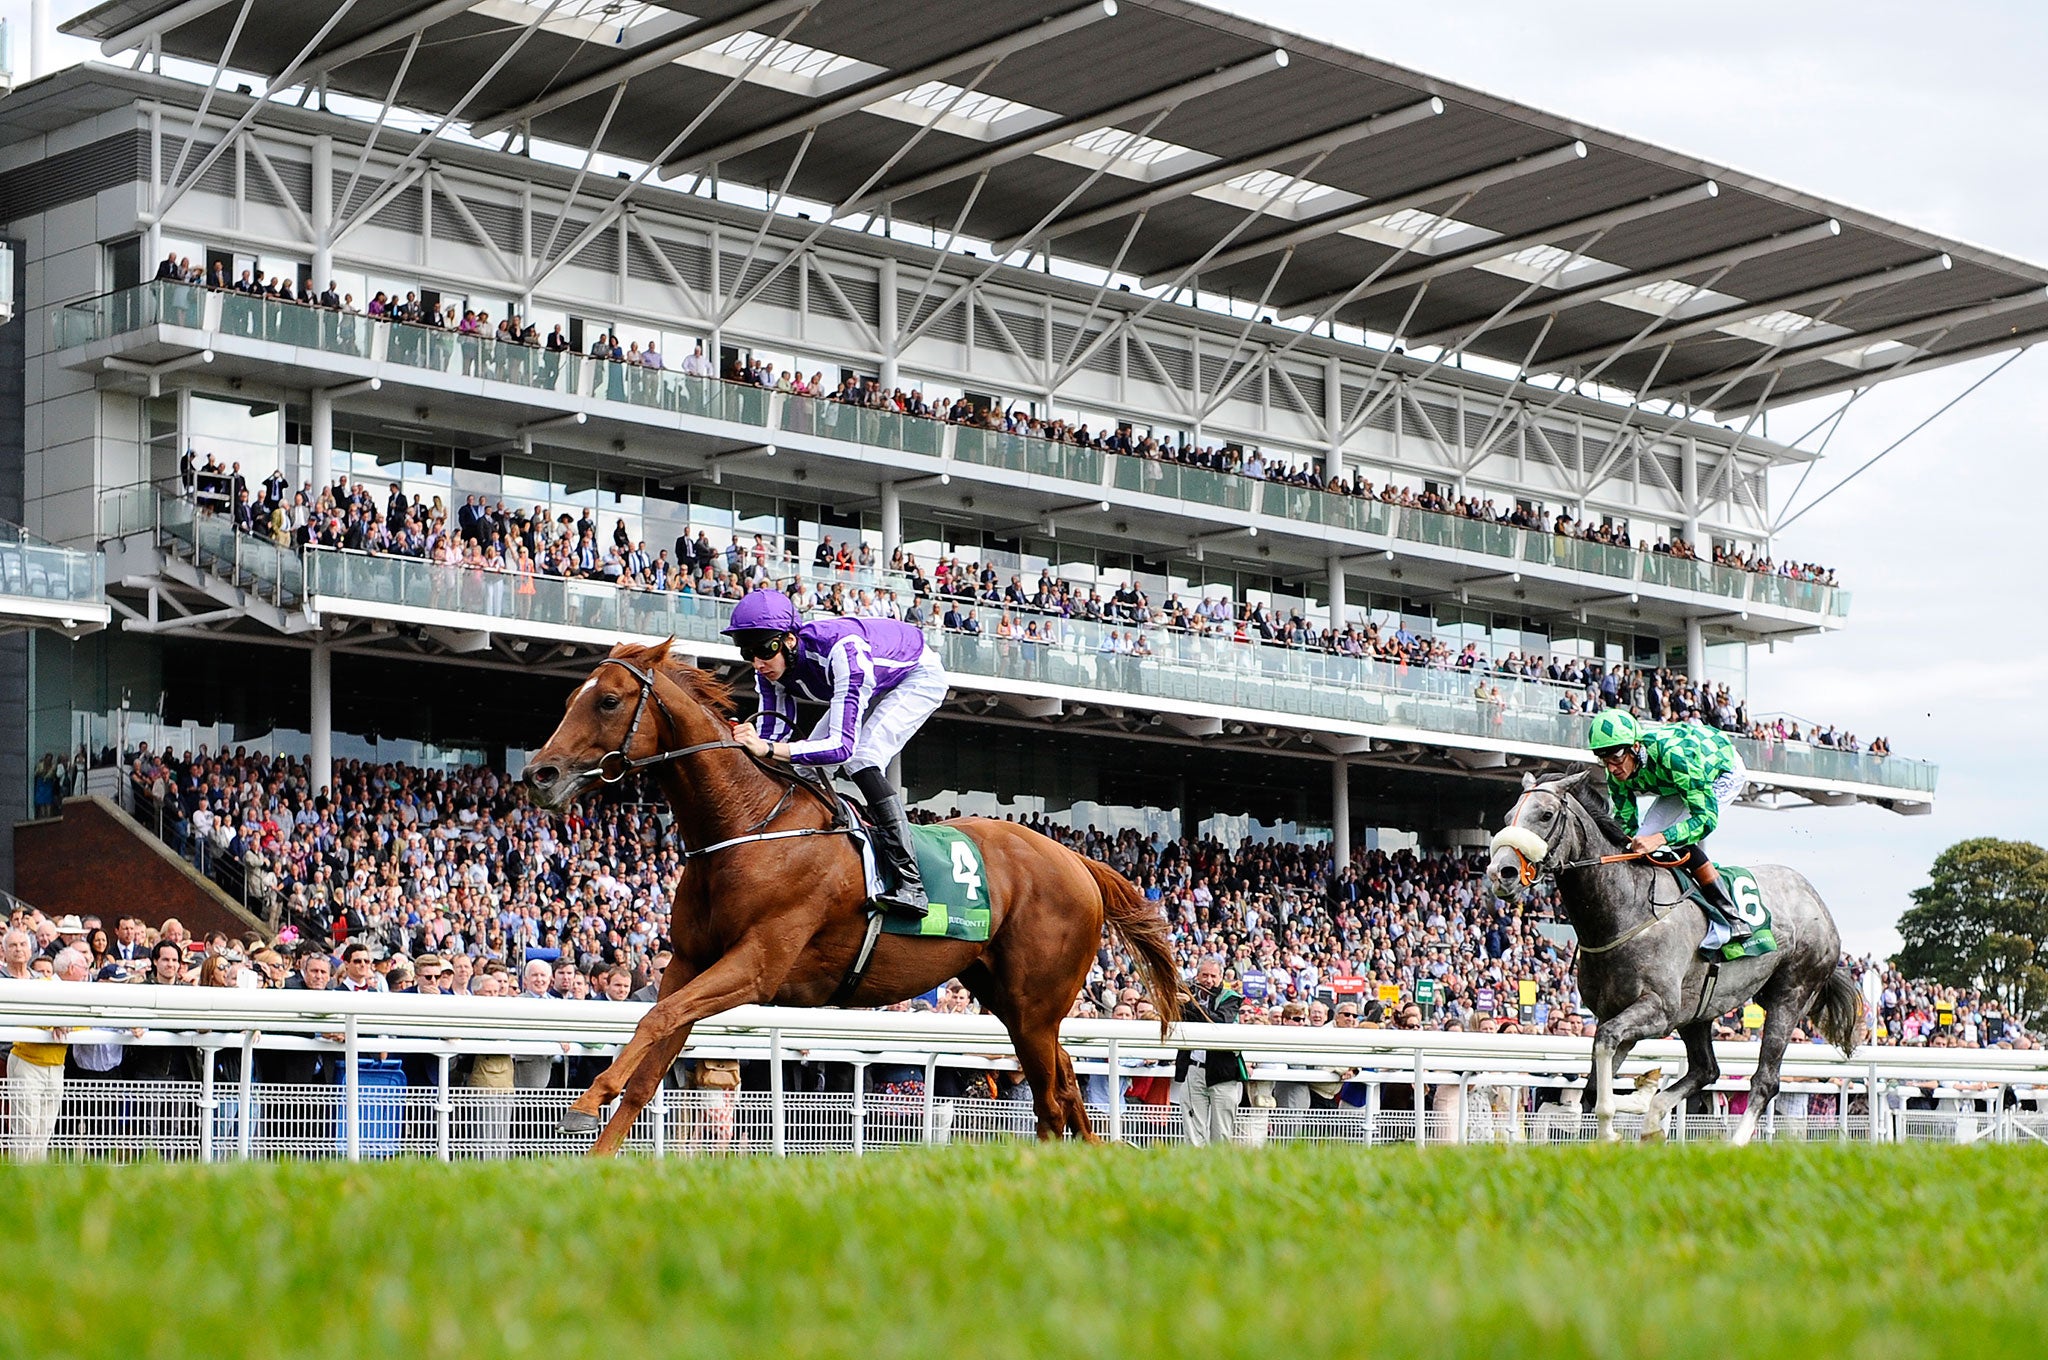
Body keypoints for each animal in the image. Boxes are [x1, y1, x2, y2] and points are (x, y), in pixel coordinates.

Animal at [528, 643, 1187, 1155]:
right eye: (570, 698)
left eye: (609, 701)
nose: (539, 774)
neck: (747, 827)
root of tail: (1077, 860)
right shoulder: (688, 963)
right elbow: (652, 1050)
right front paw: (600, 1156)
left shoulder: (758, 965)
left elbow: (657, 1018)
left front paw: (585, 1102)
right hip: (1013, 1001)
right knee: (1067, 1085)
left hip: (1035, 1004)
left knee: (1050, 1100)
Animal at [1482, 770, 1867, 1138]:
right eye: (1507, 816)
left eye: (1545, 815)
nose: (1501, 872)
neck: (1628, 908)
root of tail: (1815, 899)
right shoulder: (1615, 1012)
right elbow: (1593, 1083)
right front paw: (1631, 1107)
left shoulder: (1659, 1010)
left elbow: (1604, 1051)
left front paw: (1611, 1128)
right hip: (1698, 1012)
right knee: (1707, 1069)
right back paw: (1653, 1118)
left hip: (1790, 994)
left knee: (1766, 1081)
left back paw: (1733, 1141)